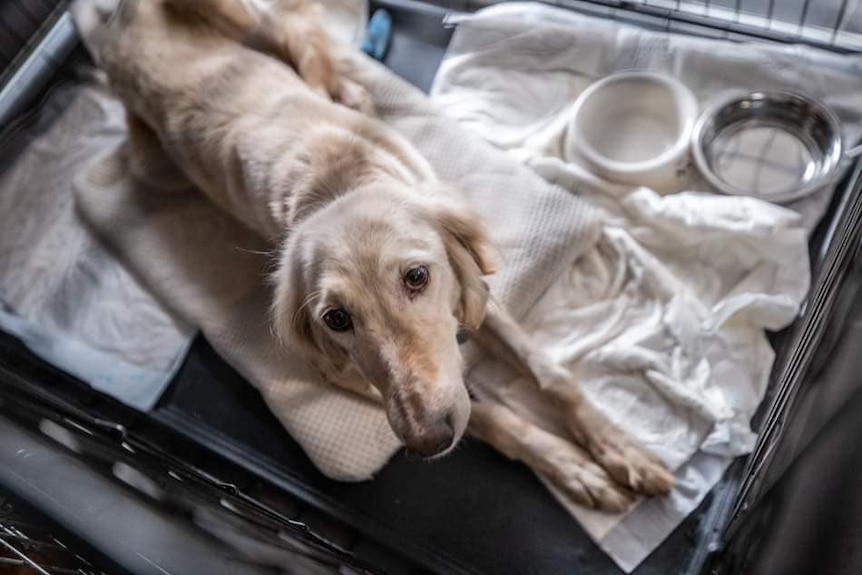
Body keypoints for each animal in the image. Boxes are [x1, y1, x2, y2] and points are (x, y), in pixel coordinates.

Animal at [74, 0, 676, 512]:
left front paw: (622, 451)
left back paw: (347, 89)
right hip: (155, 163)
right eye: (336, 319)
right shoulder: (350, 377)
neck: (334, 185)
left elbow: (552, 375)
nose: (427, 441)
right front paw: (571, 468)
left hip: (247, 21)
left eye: (417, 277)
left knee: (303, 41)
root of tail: (112, 19)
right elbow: (491, 417)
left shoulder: (473, 290)